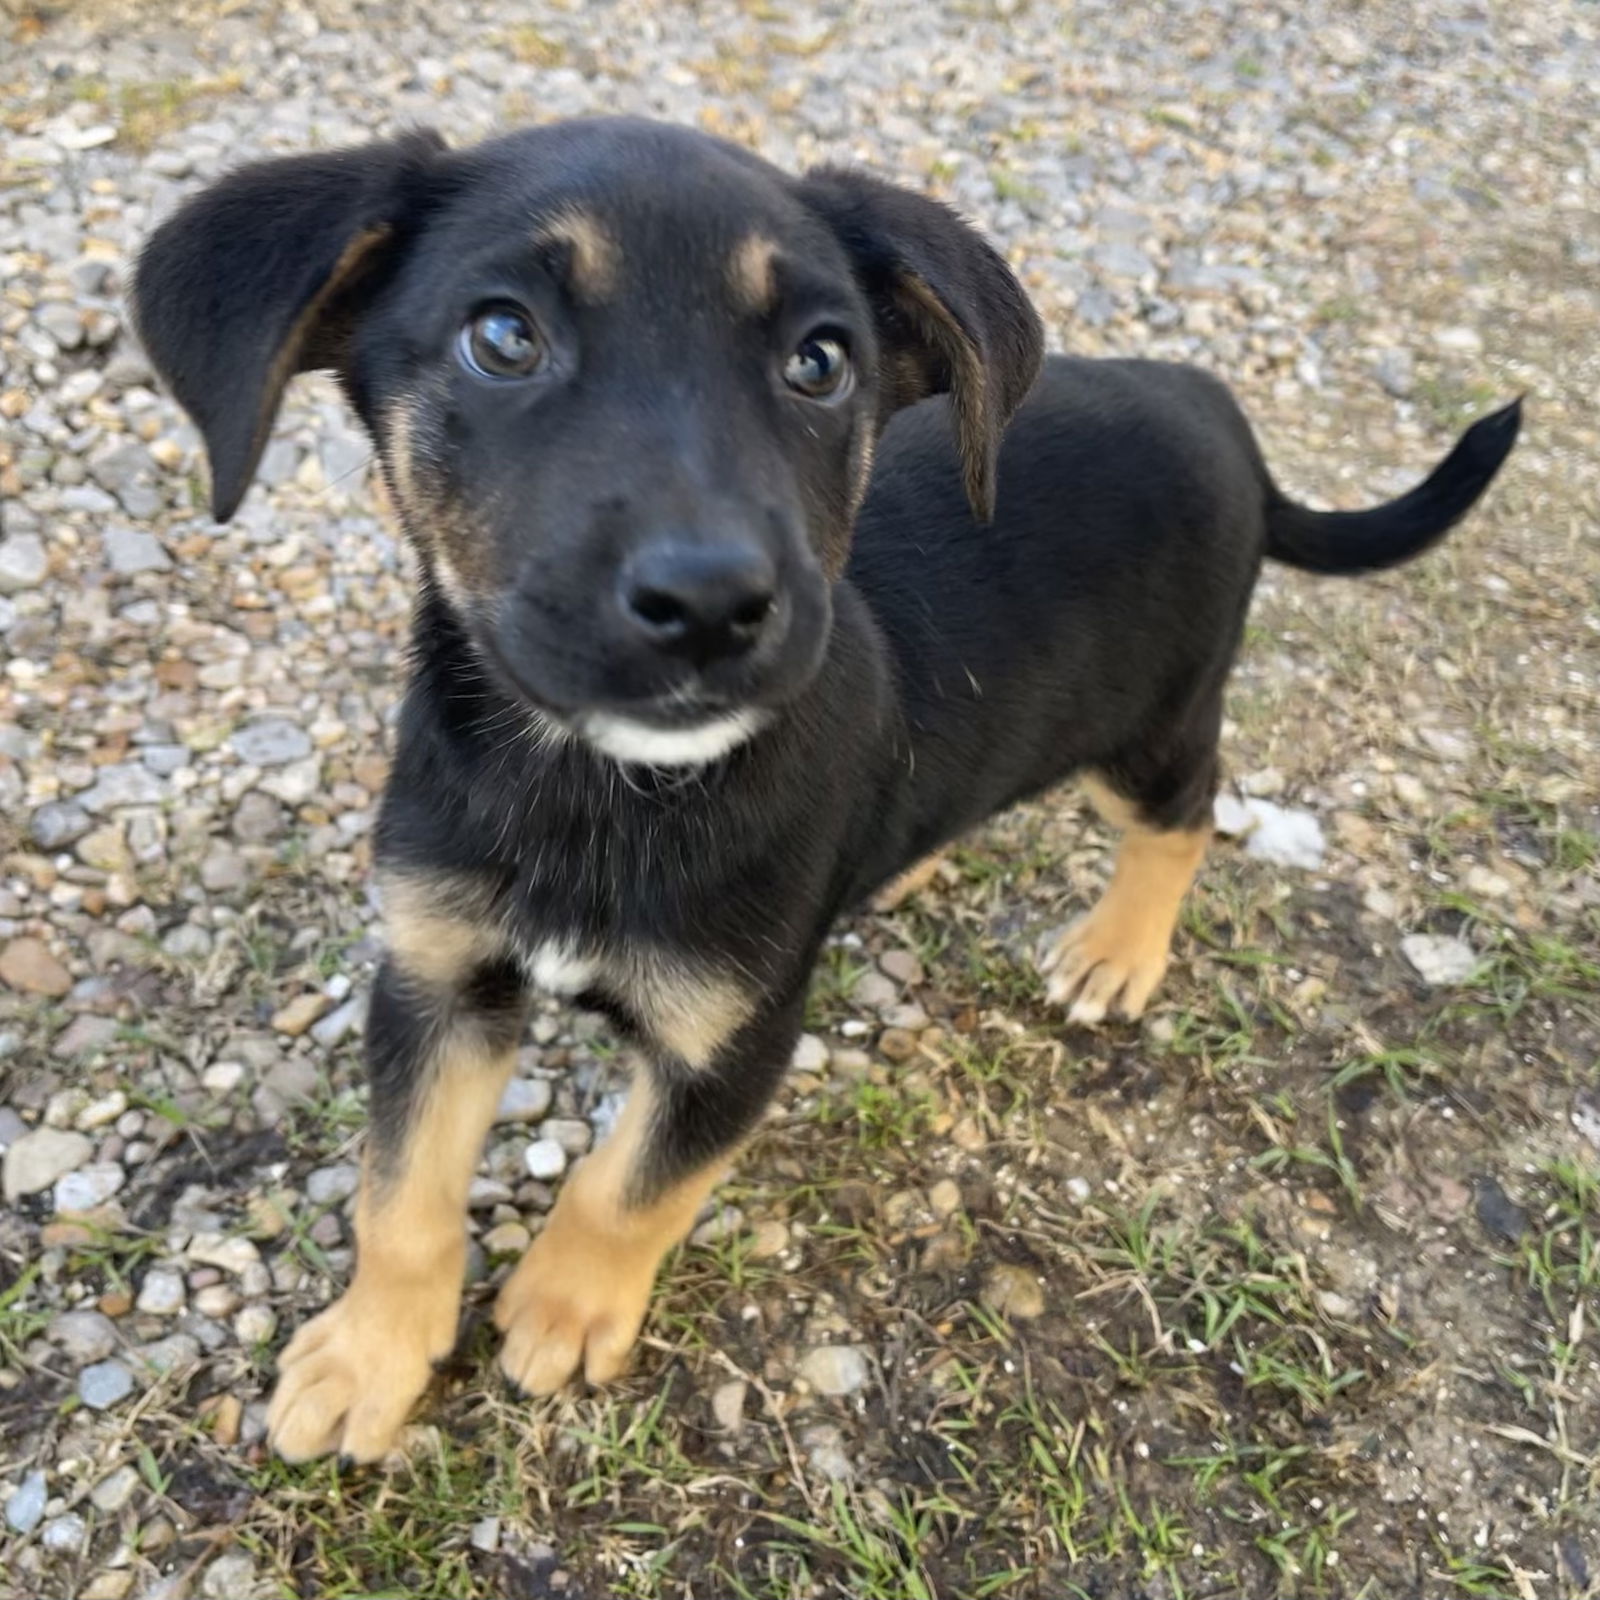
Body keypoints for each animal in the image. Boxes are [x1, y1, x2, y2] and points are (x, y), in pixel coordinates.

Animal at [131, 116, 1516, 1465]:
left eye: (819, 362)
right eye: (502, 336)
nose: (710, 604)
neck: (604, 787)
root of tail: (1212, 404)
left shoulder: (736, 1036)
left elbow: (627, 1186)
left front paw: (563, 1311)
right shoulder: (433, 976)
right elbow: (400, 1190)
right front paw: (369, 1358)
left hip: (1151, 720)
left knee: (1184, 817)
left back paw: (1117, 952)